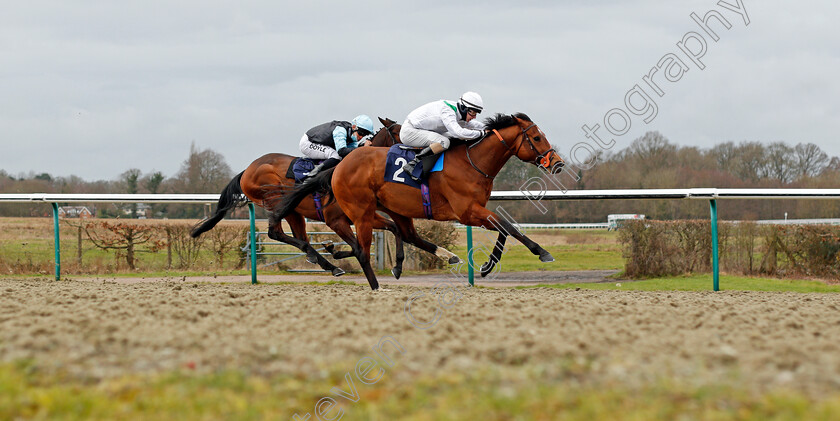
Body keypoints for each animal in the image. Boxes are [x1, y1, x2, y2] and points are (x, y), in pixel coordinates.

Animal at [194, 116, 410, 278]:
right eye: (398, 133)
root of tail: (247, 169)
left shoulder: (365, 216)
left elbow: (394, 228)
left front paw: (397, 266)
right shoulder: (335, 221)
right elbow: (358, 246)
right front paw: (335, 250)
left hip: (293, 212)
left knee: (295, 236)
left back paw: (327, 264)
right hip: (275, 198)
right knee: (275, 233)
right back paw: (321, 260)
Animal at [274, 111, 564, 288]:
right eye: (536, 137)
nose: (558, 164)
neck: (472, 161)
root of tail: (339, 166)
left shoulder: (476, 210)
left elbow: (504, 229)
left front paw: (485, 266)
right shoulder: (467, 212)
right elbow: (507, 226)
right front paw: (542, 252)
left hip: (394, 208)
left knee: (402, 234)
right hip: (359, 211)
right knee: (363, 247)